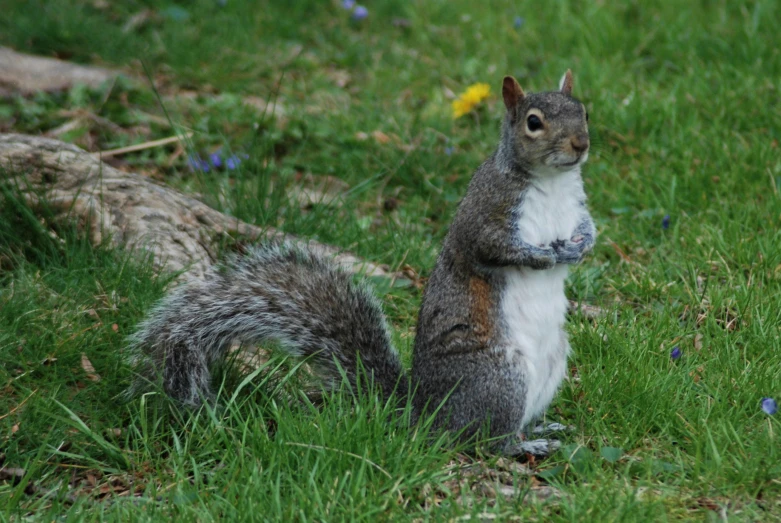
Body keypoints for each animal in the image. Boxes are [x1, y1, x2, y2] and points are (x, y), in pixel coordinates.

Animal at [126, 70, 596, 458]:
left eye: (583, 111)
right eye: (533, 122)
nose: (581, 144)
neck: (551, 183)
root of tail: (424, 413)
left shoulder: (575, 204)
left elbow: (588, 228)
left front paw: (582, 246)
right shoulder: (484, 213)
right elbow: (490, 247)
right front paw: (543, 255)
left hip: (552, 361)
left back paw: (540, 427)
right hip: (498, 378)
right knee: (479, 441)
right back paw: (522, 445)